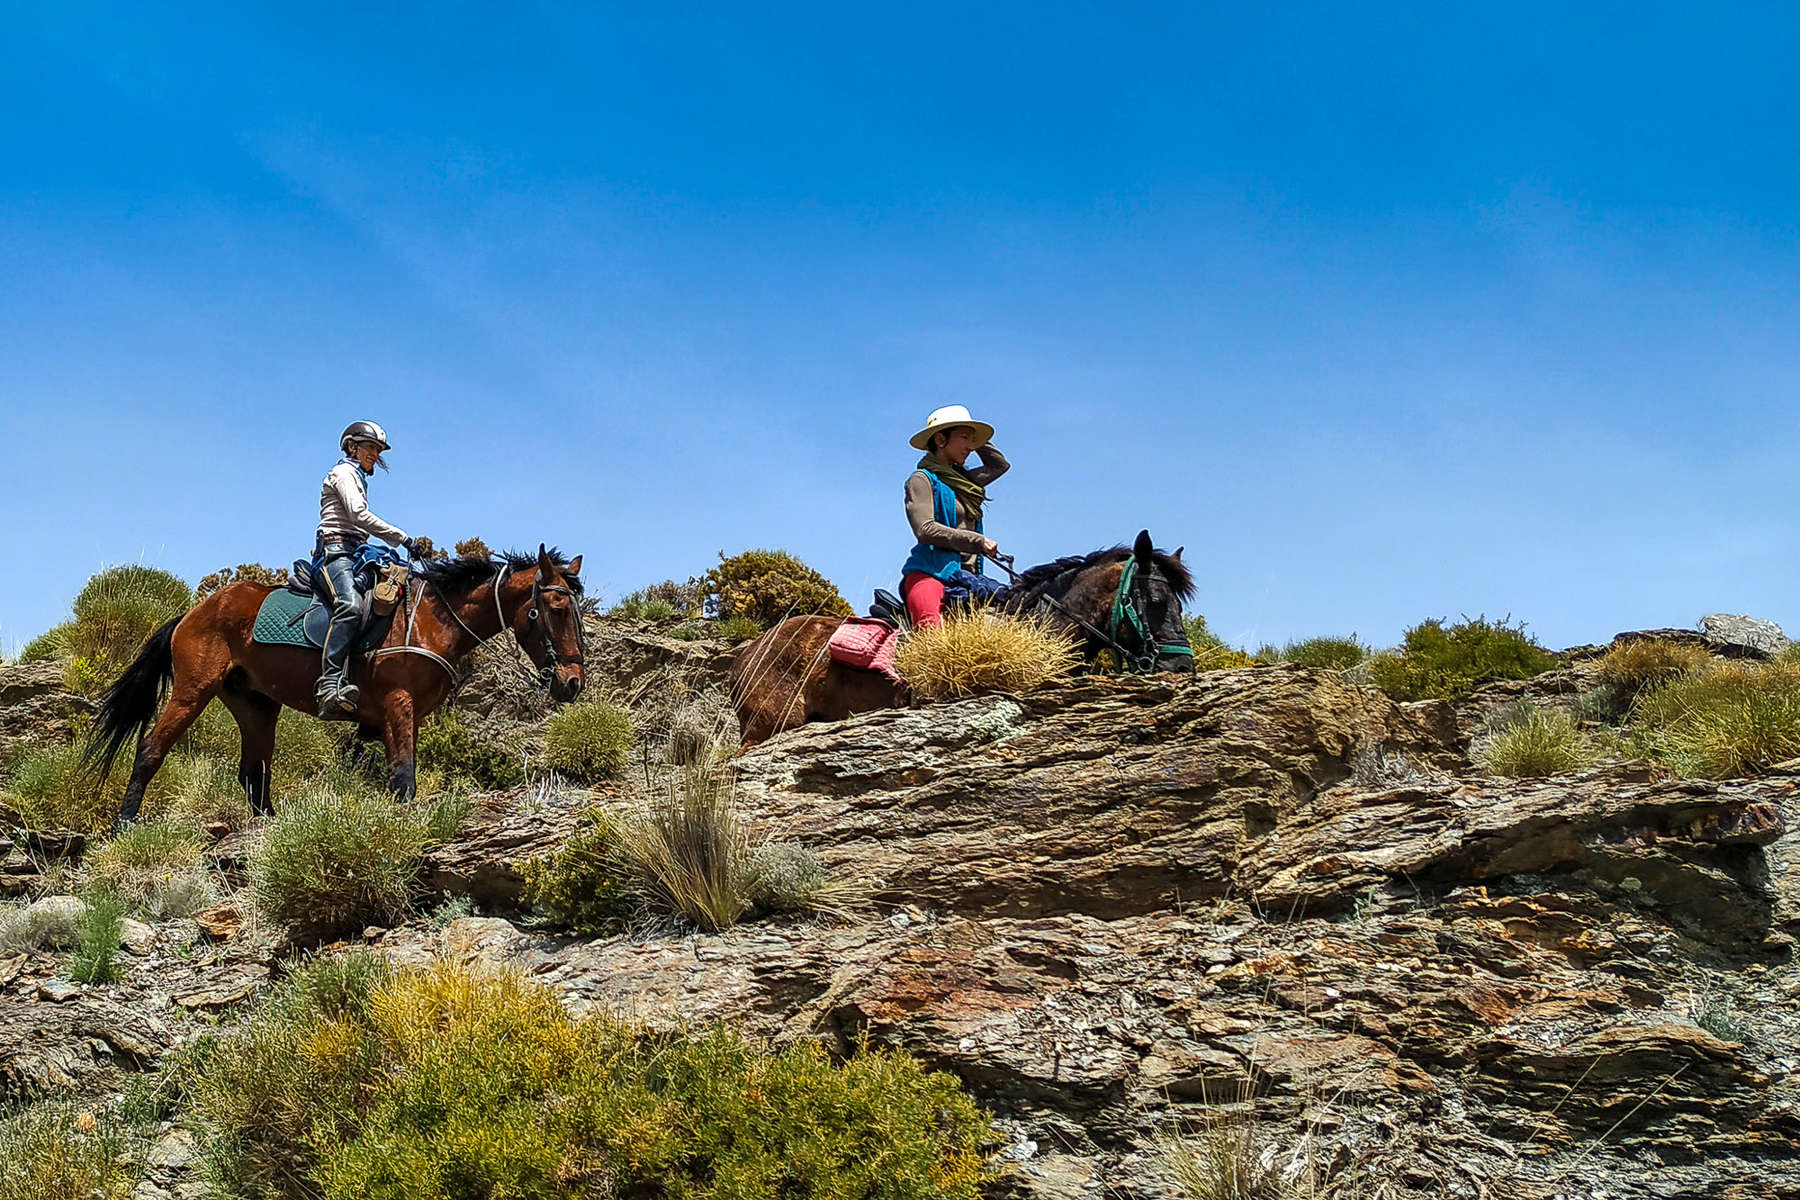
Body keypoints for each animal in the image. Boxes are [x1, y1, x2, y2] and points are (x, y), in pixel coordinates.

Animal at [89, 546, 583, 820]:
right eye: (556, 608)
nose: (573, 683)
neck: (431, 619)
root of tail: (190, 615)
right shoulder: (398, 705)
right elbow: (404, 779)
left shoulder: (399, 718)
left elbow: (391, 773)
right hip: (194, 690)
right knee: (150, 749)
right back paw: (125, 824)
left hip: (256, 705)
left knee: (254, 775)